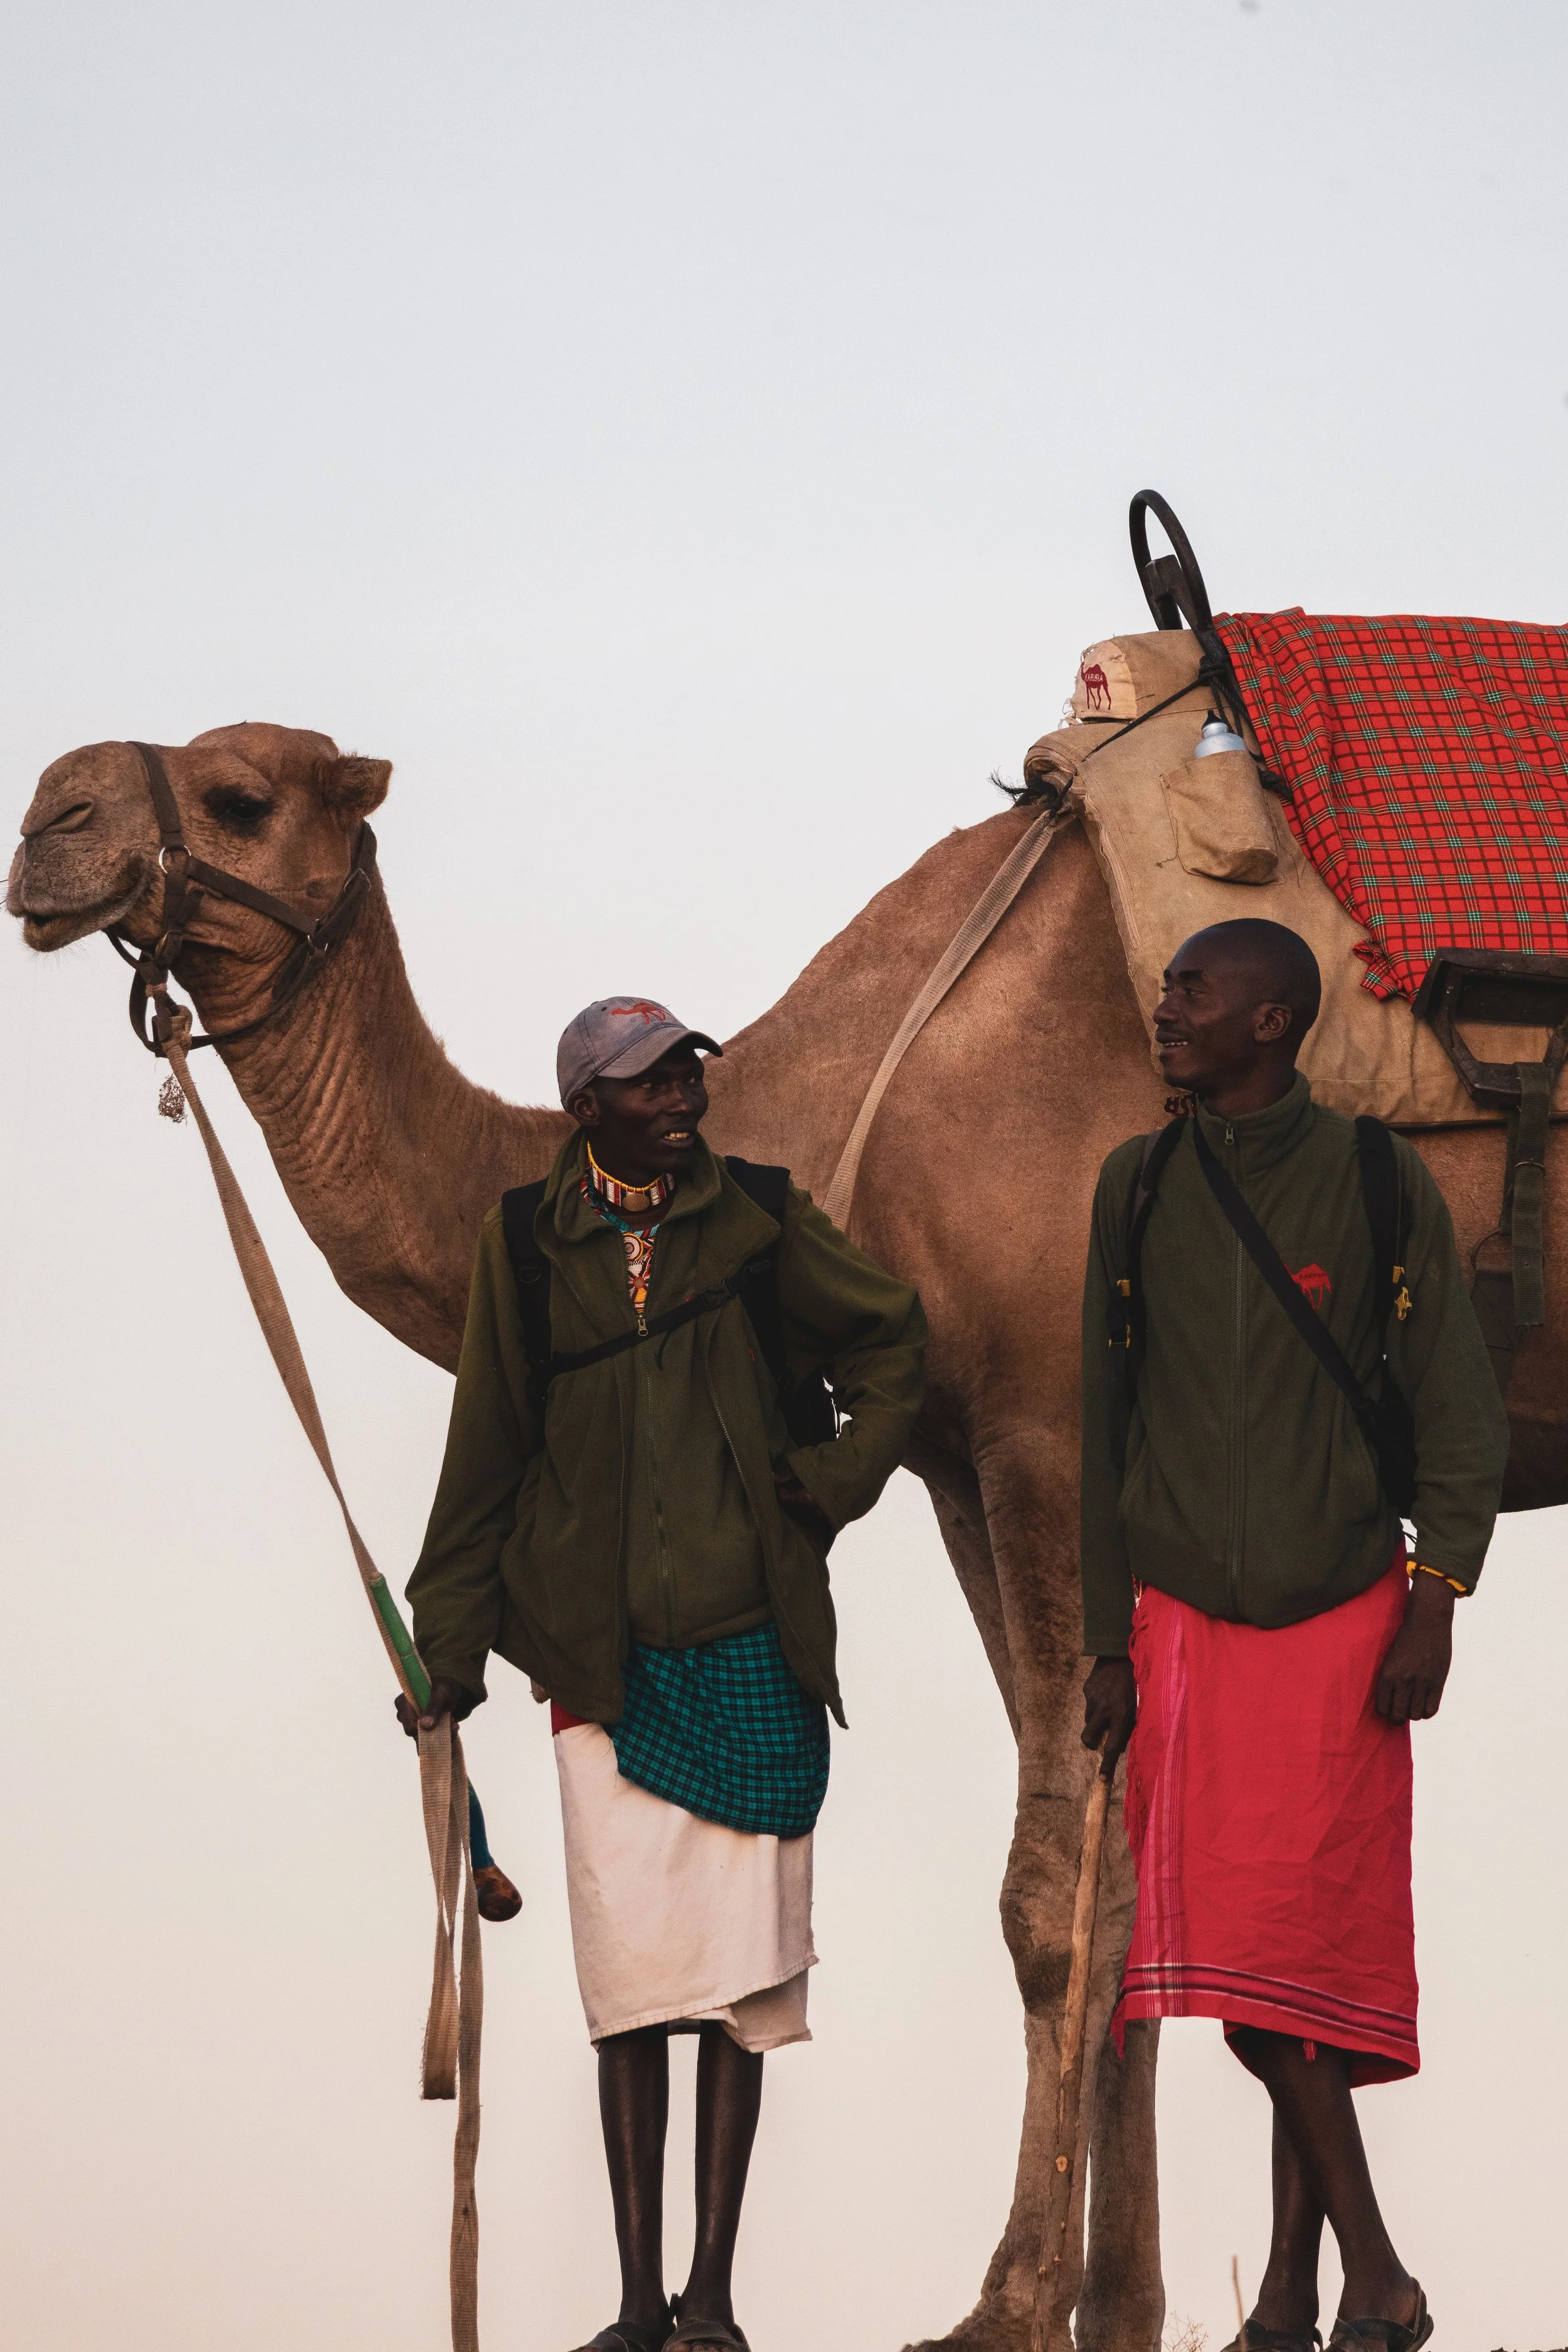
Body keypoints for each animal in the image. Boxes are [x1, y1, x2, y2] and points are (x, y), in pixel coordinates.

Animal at [11, 719, 1566, 2352]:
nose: (49, 822)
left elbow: (1059, 1885)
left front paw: (1010, 2309)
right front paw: (1115, 2307)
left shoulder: (1053, 1419)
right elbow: (1111, 1854)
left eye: (242, 798)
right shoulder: (968, 1459)